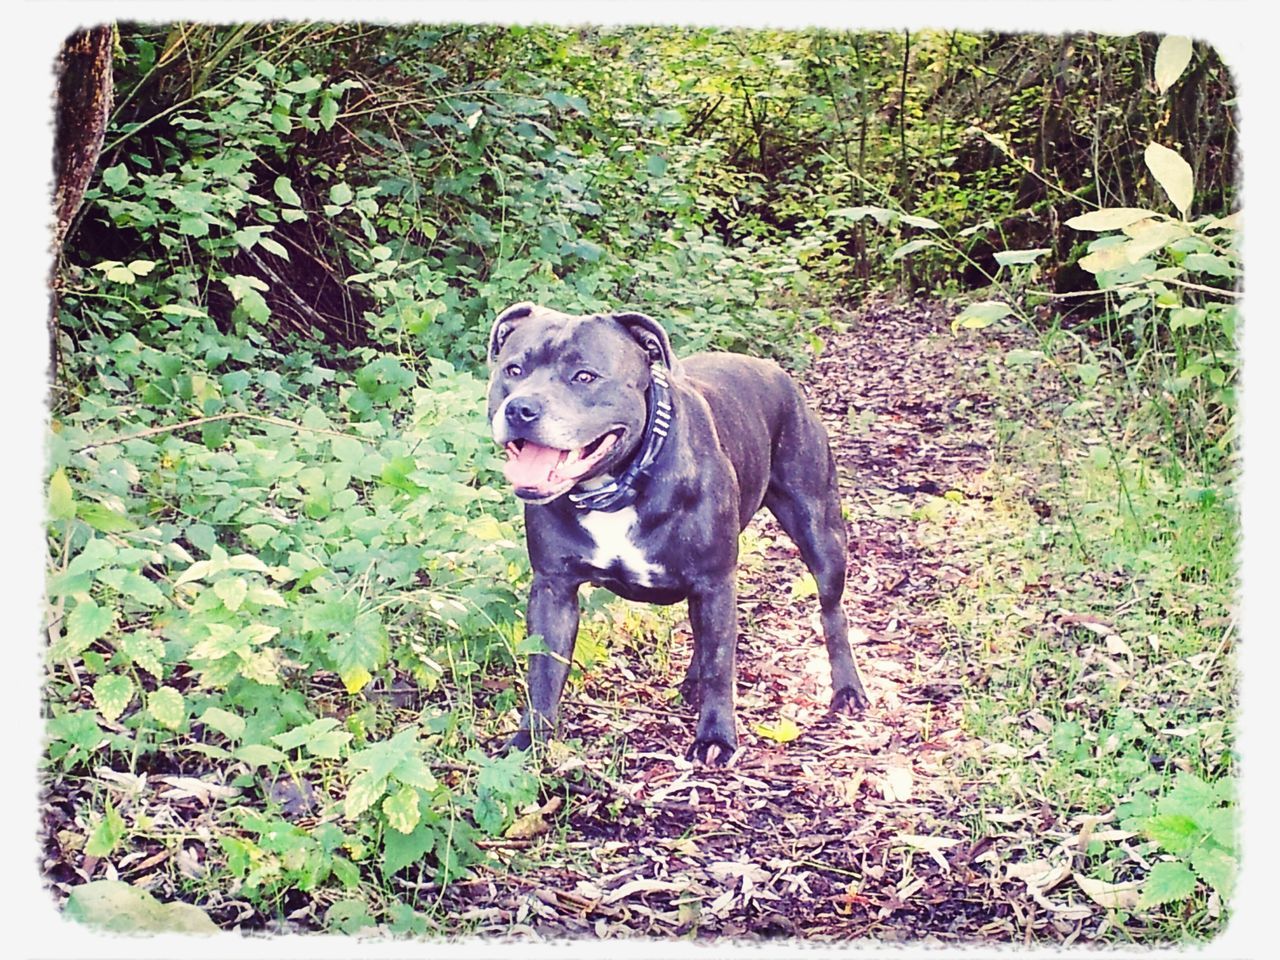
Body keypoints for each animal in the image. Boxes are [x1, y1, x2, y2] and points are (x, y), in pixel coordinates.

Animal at [488, 304, 870, 762]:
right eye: (513, 369)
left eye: (584, 376)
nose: (520, 409)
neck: (619, 486)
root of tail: (774, 370)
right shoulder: (553, 589)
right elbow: (543, 671)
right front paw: (528, 741)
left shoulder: (715, 580)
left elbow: (721, 664)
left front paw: (716, 737)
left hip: (819, 529)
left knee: (832, 611)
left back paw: (847, 688)